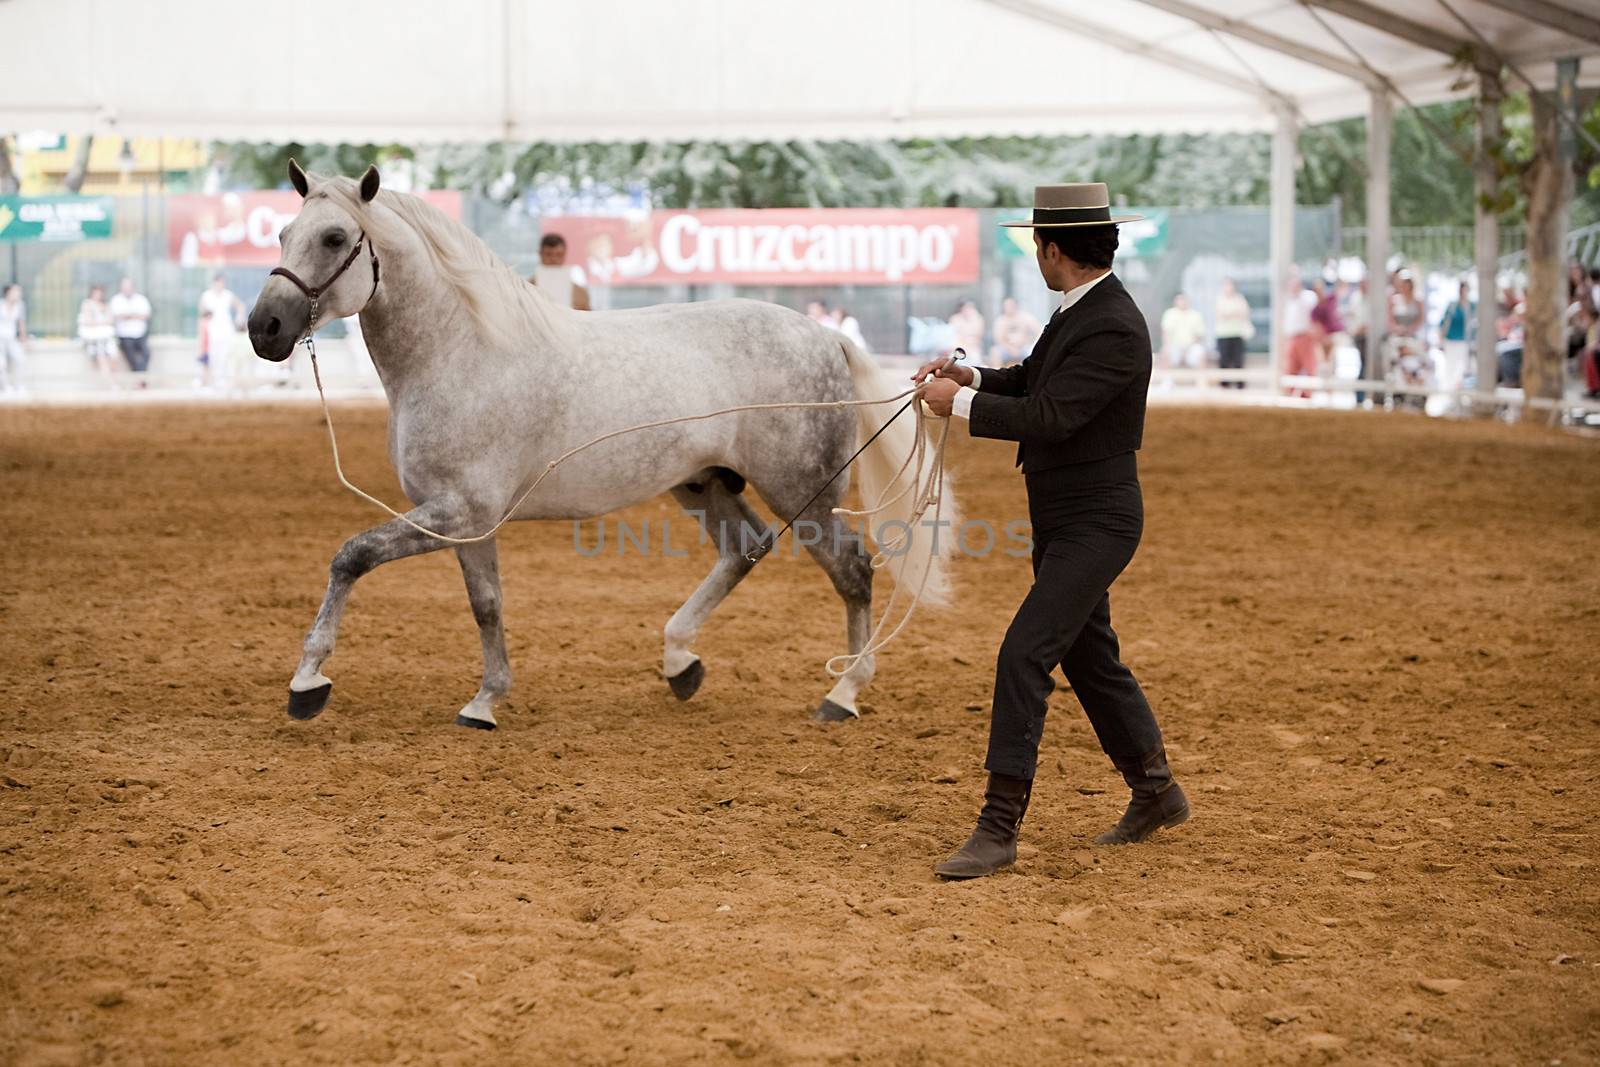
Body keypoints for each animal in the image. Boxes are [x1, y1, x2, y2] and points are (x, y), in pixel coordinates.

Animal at [244, 163, 953, 735]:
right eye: (282, 234)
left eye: (335, 238)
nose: (264, 329)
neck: (461, 353)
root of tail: (826, 336)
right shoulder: (467, 521)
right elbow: (486, 605)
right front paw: (485, 702)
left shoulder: (459, 510)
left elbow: (351, 556)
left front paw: (308, 682)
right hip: (704, 482)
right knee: (745, 548)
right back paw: (679, 661)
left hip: (803, 494)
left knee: (852, 572)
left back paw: (842, 694)